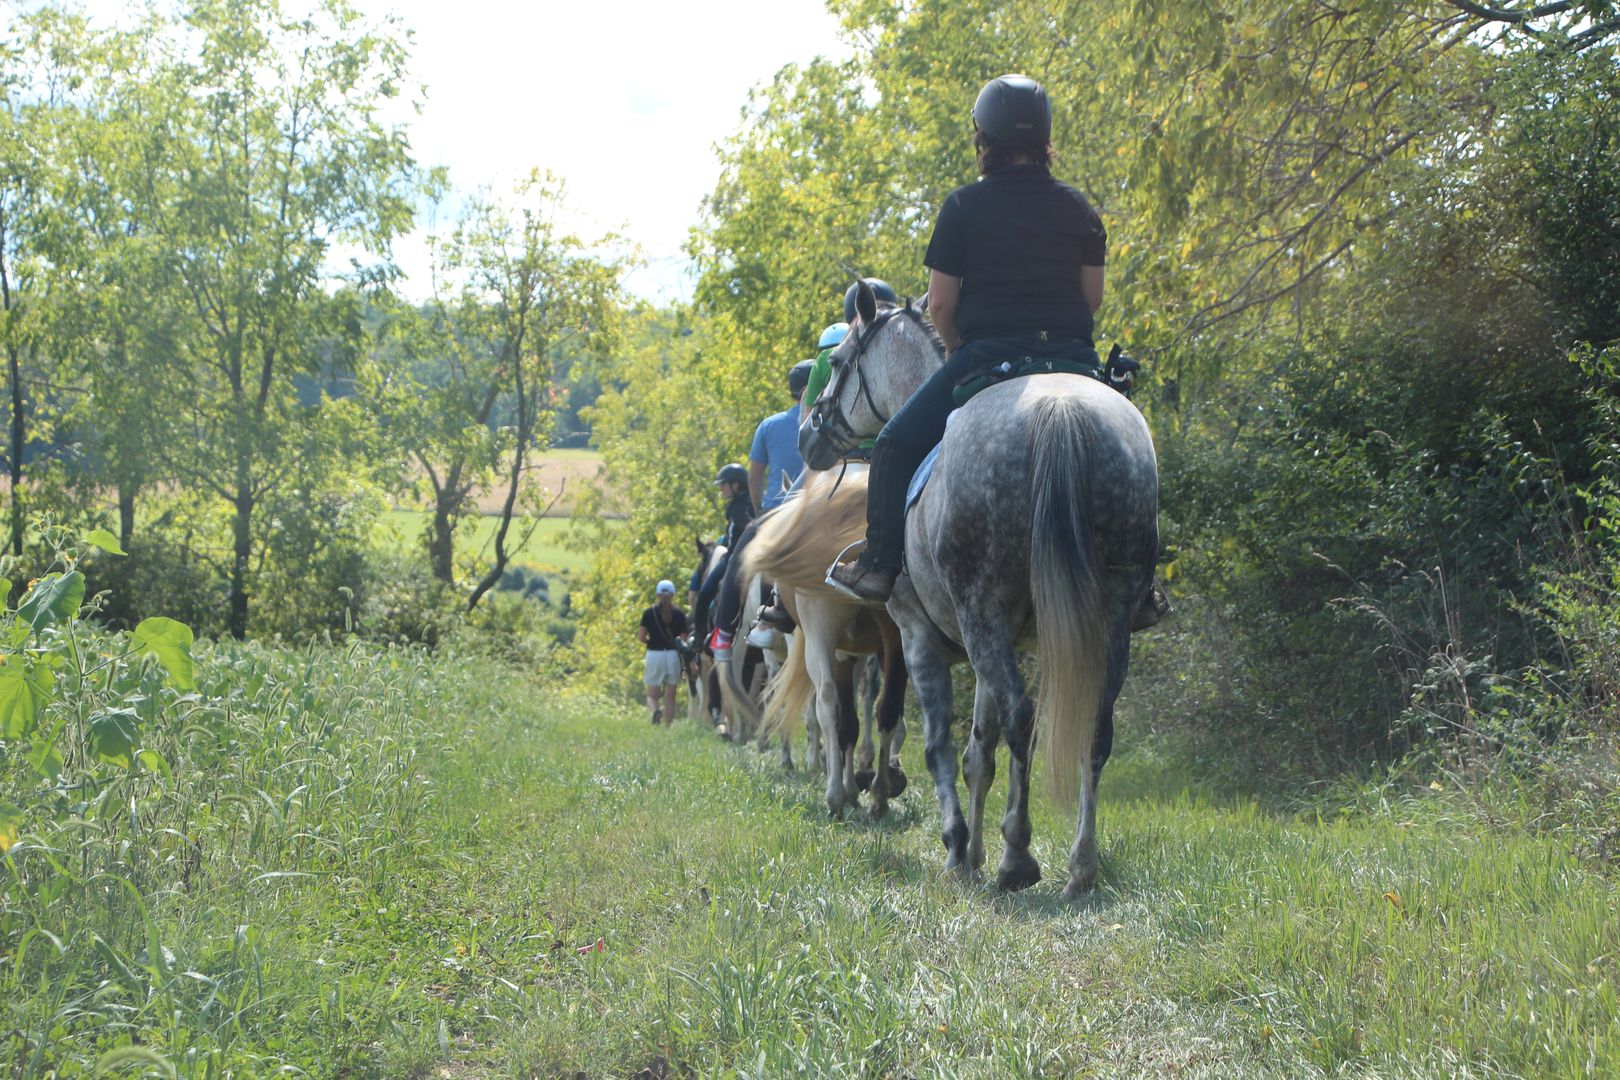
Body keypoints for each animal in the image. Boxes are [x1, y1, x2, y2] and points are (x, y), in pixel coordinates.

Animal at [800, 284, 1159, 893]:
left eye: (842, 361)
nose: (809, 434)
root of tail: (1057, 410)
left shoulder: (920, 638)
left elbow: (941, 746)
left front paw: (956, 846)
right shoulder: (998, 639)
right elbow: (979, 753)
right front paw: (972, 851)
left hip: (980, 607)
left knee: (1021, 717)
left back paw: (1018, 857)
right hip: (1106, 614)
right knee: (1092, 727)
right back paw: (1080, 866)